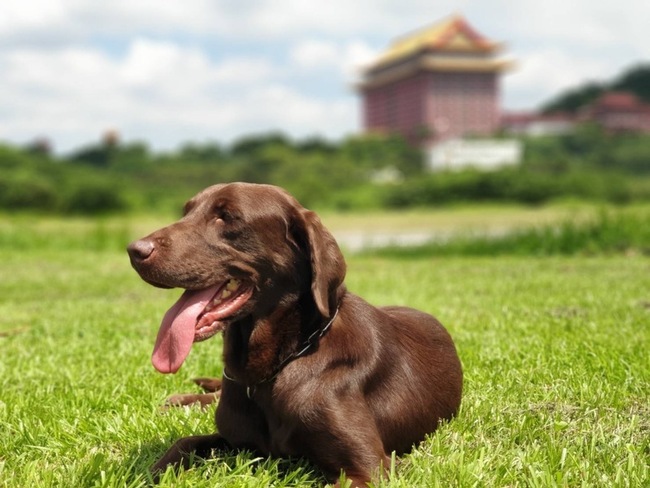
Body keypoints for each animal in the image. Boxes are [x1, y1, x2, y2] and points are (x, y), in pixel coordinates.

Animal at [126, 182, 460, 484]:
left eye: (227, 216)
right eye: (186, 212)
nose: (134, 250)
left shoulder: (369, 468)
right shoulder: (234, 440)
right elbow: (185, 443)